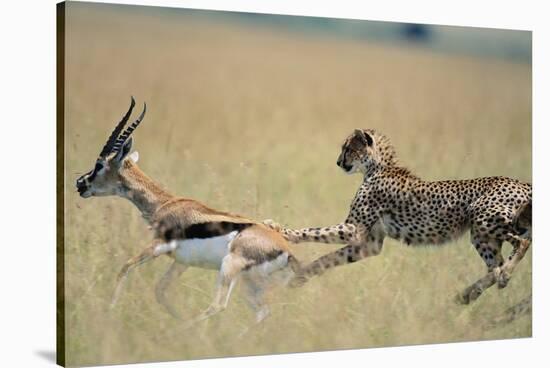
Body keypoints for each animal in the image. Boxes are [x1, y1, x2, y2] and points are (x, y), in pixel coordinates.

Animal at [266, 128, 532, 304]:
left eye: (348, 148)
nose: (338, 162)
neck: (377, 167)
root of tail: (522, 182)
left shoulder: (354, 229)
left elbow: (313, 231)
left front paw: (279, 229)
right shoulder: (369, 243)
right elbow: (328, 259)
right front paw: (300, 276)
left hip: (484, 220)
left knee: (521, 243)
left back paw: (502, 276)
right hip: (481, 235)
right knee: (494, 267)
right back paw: (468, 293)